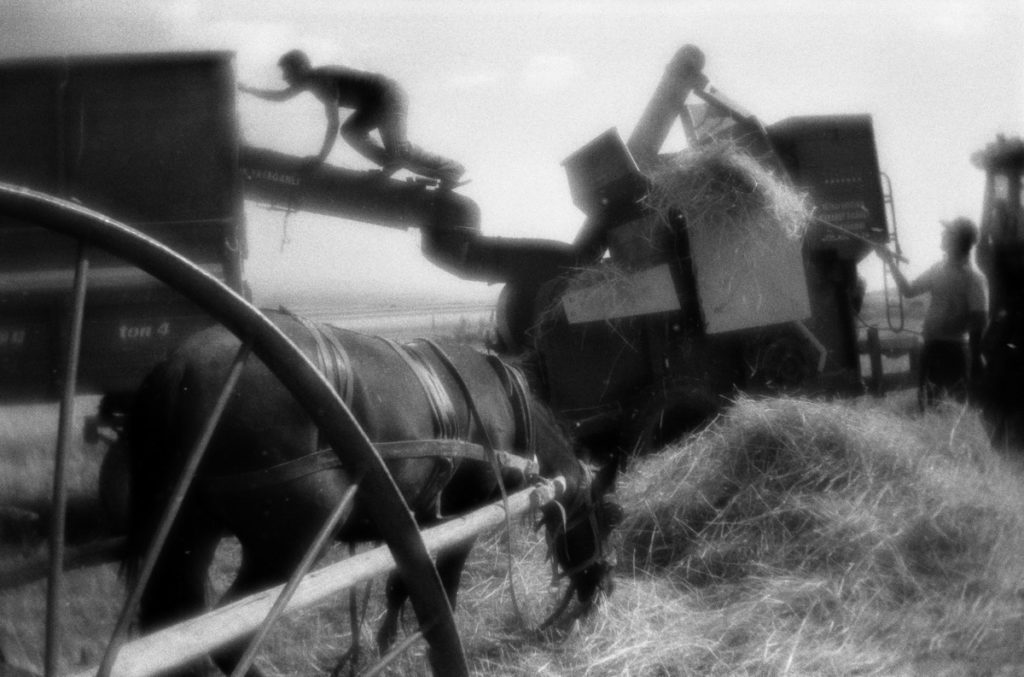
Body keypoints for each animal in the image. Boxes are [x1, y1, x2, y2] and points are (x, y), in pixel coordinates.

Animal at [118, 309, 614, 671]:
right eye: (607, 521)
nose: (602, 592)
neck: (504, 403)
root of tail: (176, 369)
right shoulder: (464, 514)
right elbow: (445, 583)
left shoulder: (416, 517)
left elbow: (402, 585)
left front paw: (385, 640)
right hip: (284, 543)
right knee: (227, 637)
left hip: (186, 532)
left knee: (174, 614)